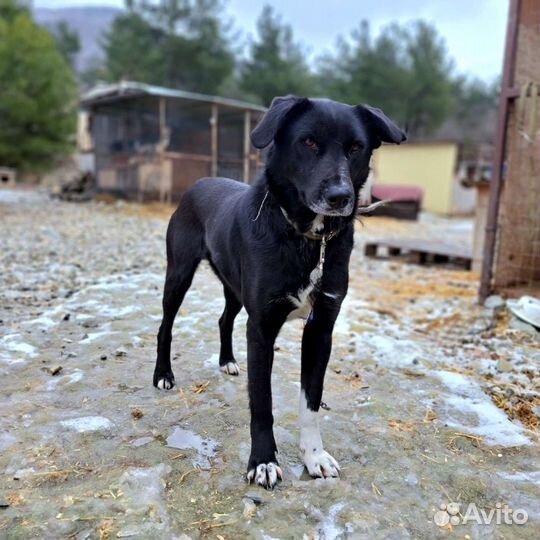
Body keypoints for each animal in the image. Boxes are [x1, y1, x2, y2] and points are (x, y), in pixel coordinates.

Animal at [152, 97, 404, 490]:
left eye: (356, 147)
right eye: (308, 142)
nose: (340, 197)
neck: (307, 238)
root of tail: (200, 181)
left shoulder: (320, 330)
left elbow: (311, 403)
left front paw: (314, 457)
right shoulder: (262, 328)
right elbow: (262, 403)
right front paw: (263, 462)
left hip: (234, 289)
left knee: (224, 318)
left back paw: (227, 361)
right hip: (179, 275)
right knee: (165, 325)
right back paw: (163, 374)